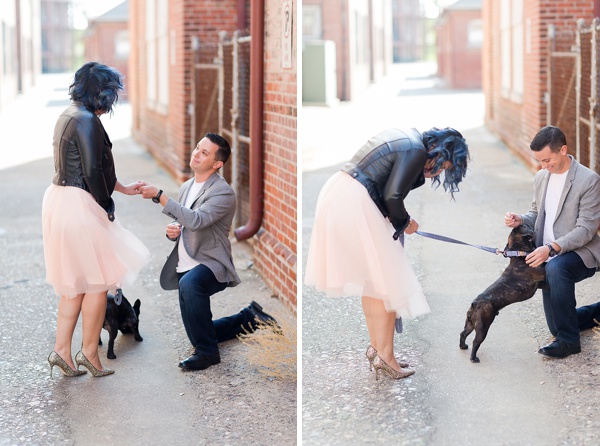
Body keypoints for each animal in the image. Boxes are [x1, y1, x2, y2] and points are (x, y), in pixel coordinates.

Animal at [460, 226, 548, 362]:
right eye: (527, 227)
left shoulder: (540, 284)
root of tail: (475, 304)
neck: (518, 253)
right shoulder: (542, 273)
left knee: (463, 333)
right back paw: (473, 357)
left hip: (470, 323)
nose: (534, 229)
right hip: (483, 326)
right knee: (476, 341)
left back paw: (463, 346)